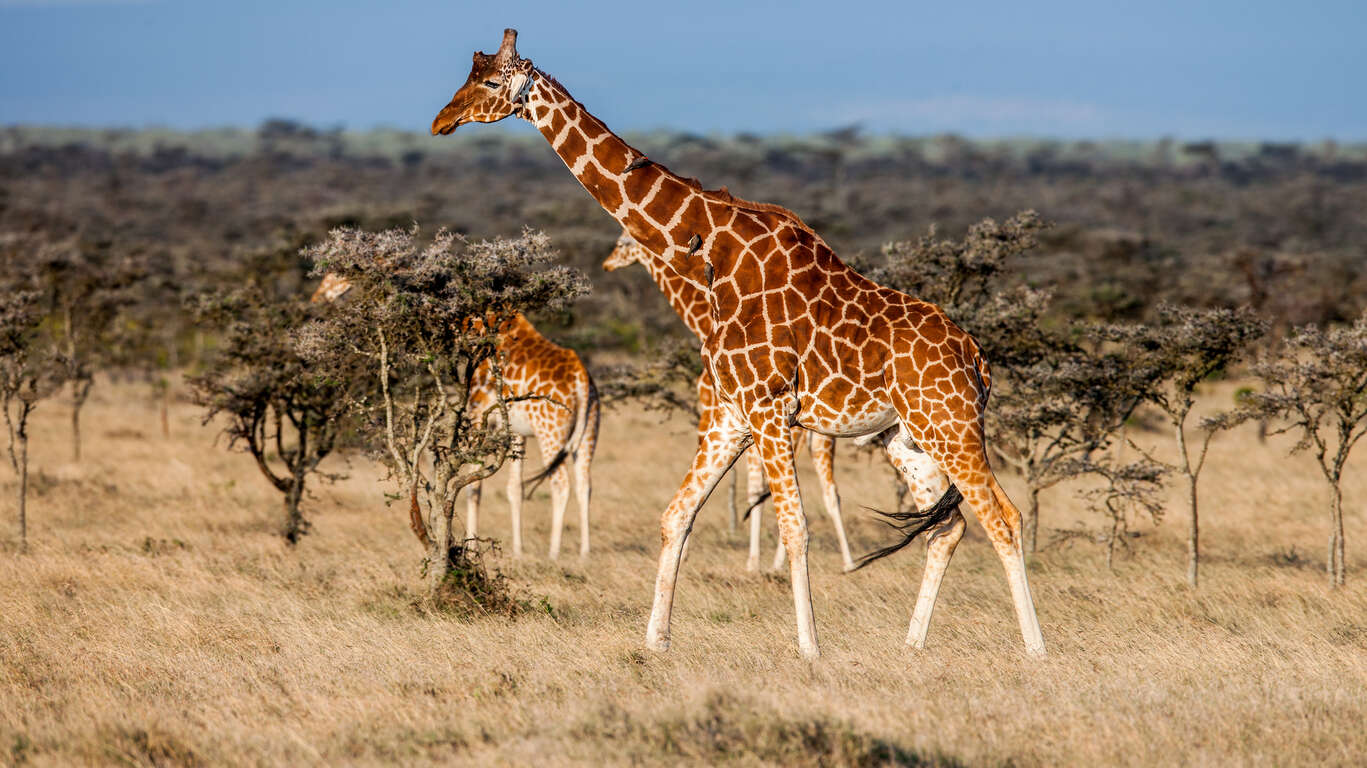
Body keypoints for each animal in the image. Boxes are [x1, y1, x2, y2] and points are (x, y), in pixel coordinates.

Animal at [318, 270, 604, 554]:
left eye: (337, 276)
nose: (318, 297)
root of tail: (582, 380)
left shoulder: (479, 417)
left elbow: (472, 486)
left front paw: (472, 547)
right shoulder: (515, 431)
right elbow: (514, 489)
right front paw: (517, 551)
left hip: (550, 433)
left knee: (561, 484)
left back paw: (554, 552)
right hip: (588, 431)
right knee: (585, 484)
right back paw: (584, 553)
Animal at [601, 232, 853, 568]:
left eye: (622, 244)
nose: (607, 264)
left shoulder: (717, 410)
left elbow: (749, 486)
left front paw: (746, 560)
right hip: (821, 439)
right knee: (832, 492)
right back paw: (848, 563)